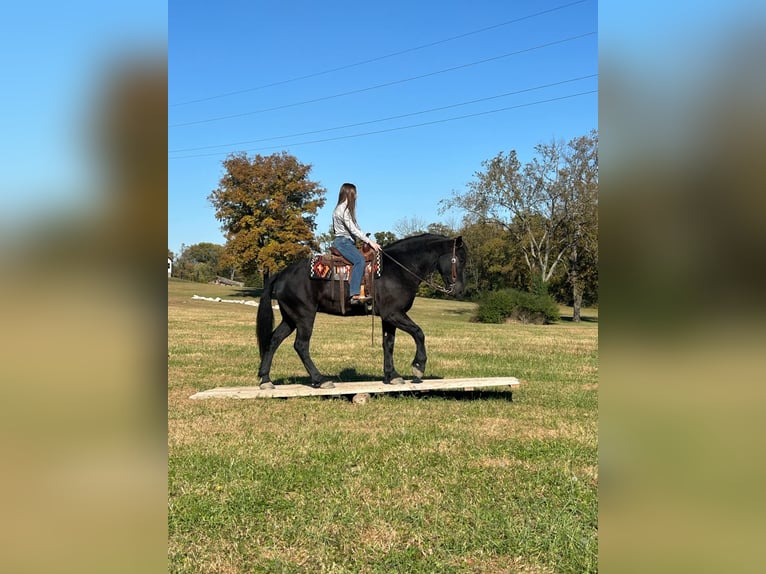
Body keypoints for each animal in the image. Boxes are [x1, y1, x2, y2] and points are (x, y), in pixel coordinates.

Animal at [258, 235, 468, 392]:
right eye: (459, 259)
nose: (459, 291)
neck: (399, 268)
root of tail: (282, 273)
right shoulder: (394, 314)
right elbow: (419, 333)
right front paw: (418, 367)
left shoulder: (388, 318)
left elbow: (388, 344)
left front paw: (392, 375)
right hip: (304, 316)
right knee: (301, 345)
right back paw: (320, 379)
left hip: (290, 318)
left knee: (273, 340)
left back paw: (265, 379)